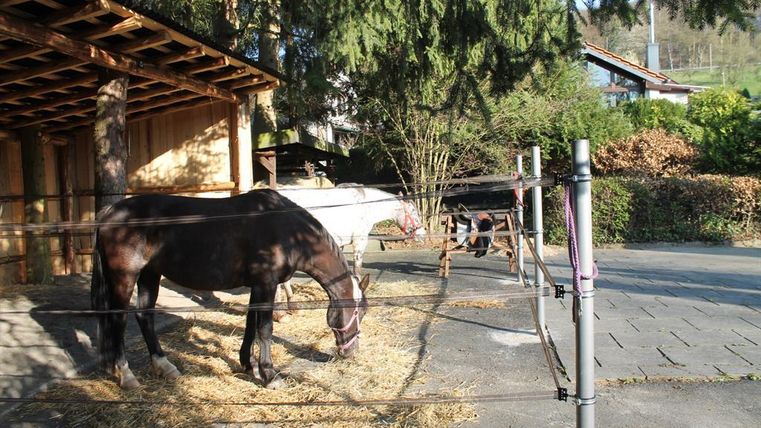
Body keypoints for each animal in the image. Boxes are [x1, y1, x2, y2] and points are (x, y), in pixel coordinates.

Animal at [91, 189, 369, 390]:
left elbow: (250, 324)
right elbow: (265, 328)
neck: (288, 230)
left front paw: (248, 364)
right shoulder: (267, 284)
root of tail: (109, 212)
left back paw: (164, 366)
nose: (352, 351)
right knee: (118, 321)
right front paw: (270, 375)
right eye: (360, 312)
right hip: (125, 277)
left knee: (144, 316)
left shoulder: (258, 285)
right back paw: (126, 375)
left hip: (150, 274)